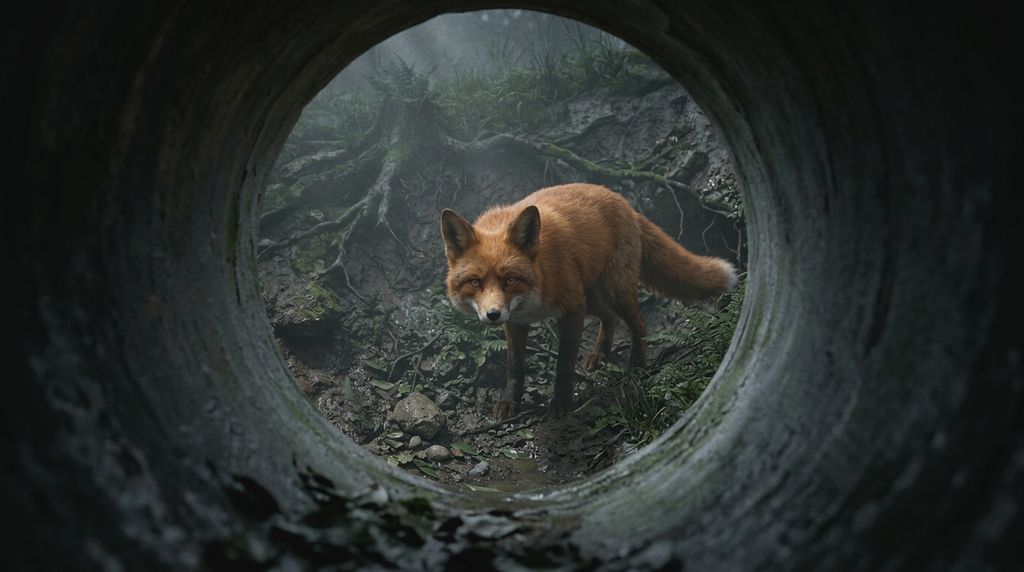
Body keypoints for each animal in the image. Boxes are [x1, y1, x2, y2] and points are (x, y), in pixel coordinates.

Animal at [440, 183, 737, 420]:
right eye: (475, 282)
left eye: (510, 280)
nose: (493, 314)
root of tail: (621, 200)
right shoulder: (516, 322)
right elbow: (516, 366)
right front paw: (510, 401)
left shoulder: (572, 309)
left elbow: (564, 362)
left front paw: (561, 404)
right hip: (593, 297)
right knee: (609, 317)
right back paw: (600, 354)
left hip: (613, 291)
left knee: (638, 322)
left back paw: (636, 366)